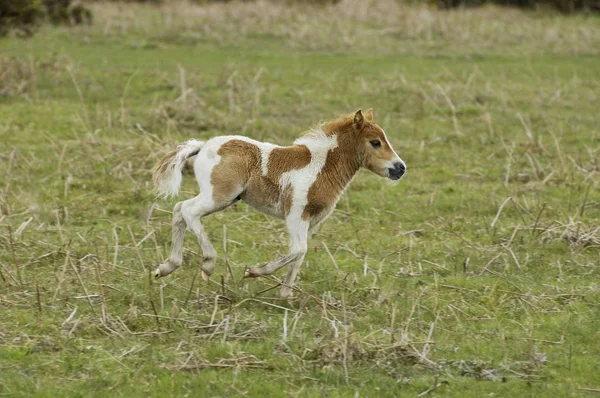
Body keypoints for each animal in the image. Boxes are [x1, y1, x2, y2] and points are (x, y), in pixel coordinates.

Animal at [154, 109, 408, 296]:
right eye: (375, 142)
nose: (400, 168)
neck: (321, 167)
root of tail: (204, 145)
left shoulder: (312, 221)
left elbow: (300, 255)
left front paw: (286, 295)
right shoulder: (296, 213)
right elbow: (298, 250)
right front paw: (254, 271)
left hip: (218, 197)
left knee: (179, 210)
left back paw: (166, 267)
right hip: (219, 196)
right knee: (188, 211)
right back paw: (207, 263)